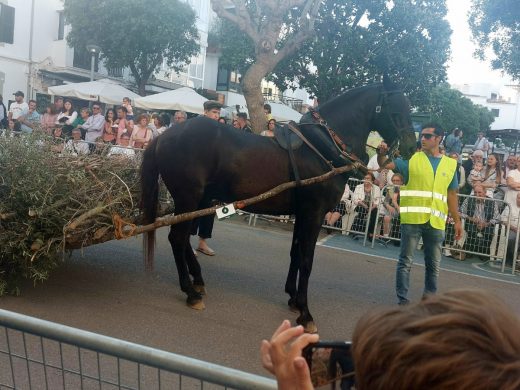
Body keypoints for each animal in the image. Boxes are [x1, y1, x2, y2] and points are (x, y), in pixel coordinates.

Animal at [139, 79, 414, 332]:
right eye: (396, 108)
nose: (411, 147)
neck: (322, 148)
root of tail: (166, 135)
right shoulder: (314, 213)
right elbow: (307, 259)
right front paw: (306, 312)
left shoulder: (303, 213)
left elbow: (296, 253)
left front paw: (293, 298)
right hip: (189, 197)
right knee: (177, 238)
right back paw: (190, 291)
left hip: (197, 200)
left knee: (183, 237)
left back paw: (197, 280)